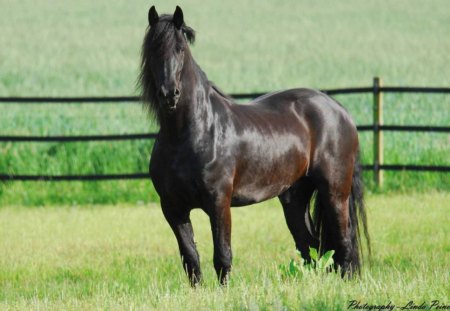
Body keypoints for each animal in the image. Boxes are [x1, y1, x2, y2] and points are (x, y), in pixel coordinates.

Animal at [140, 5, 370, 288]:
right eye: (153, 50)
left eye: (180, 48)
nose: (169, 94)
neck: (188, 133)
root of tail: (338, 109)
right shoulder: (173, 208)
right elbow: (190, 258)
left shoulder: (219, 202)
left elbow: (222, 255)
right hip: (294, 198)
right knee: (310, 247)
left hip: (335, 192)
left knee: (343, 243)